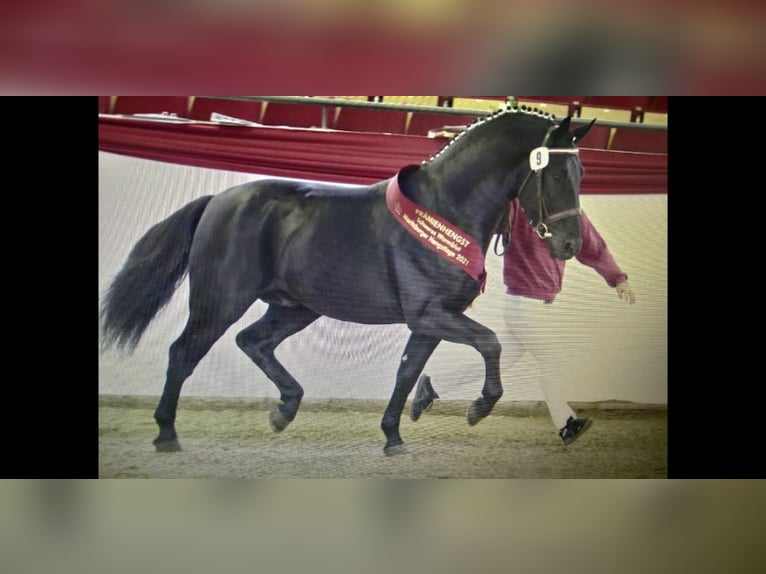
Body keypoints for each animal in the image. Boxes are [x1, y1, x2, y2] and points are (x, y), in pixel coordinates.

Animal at [100, 105, 594, 455]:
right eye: (553, 173)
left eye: (581, 172)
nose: (570, 244)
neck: (447, 208)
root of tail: (217, 200)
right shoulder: (430, 314)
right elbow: (490, 343)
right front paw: (477, 409)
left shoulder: (431, 320)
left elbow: (407, 372)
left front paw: (393, 436)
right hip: (219, 301)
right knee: (184, 352)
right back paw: (167, 433)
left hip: (294, 307)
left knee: (253, 341)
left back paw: (284, 409)